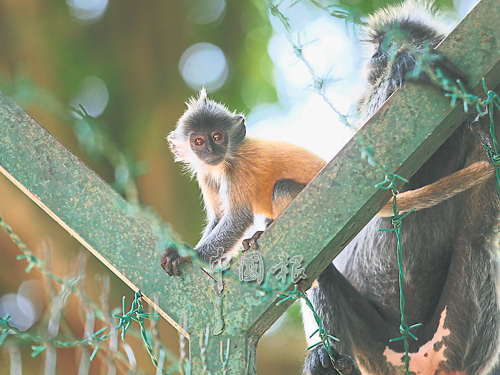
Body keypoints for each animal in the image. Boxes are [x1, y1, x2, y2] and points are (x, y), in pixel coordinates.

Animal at [300, 0, 500, 375]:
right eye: (379, 46)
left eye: (390, 41)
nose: (379, 54)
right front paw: (405, 67)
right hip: (375, 349)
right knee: (320, 274)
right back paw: (325, 360)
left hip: (457, 332)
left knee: (476, 235)